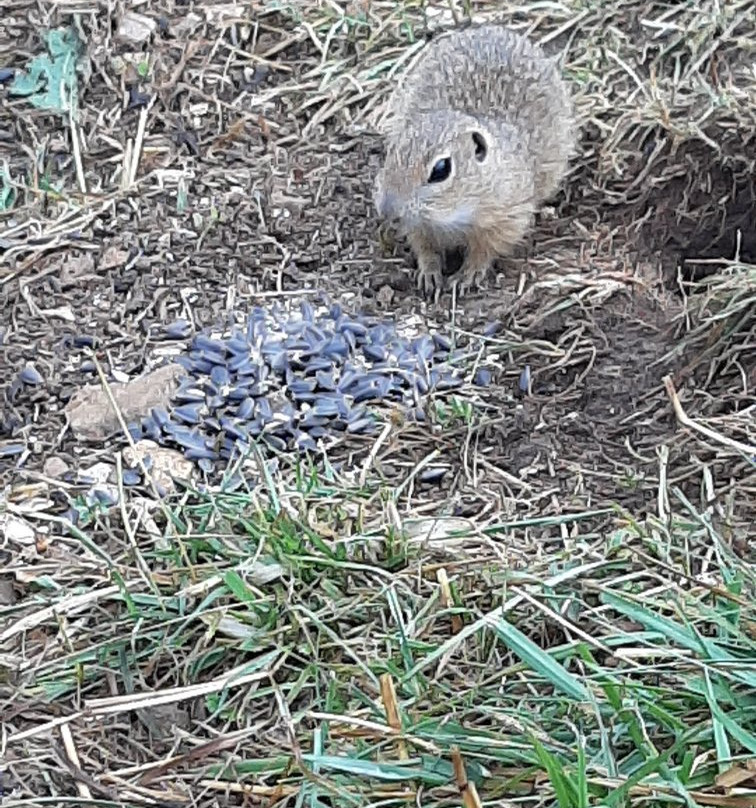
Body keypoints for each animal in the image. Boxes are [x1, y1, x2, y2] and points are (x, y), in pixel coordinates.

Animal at [376, 24, 576, 296]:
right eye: (392, 151)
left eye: (441, 169)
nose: (387, 211)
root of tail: (491, 28)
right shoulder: (420, 227)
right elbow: (425, 247)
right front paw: (429, 274)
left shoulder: (505, 217)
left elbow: (485, 250)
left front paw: (466, 276)